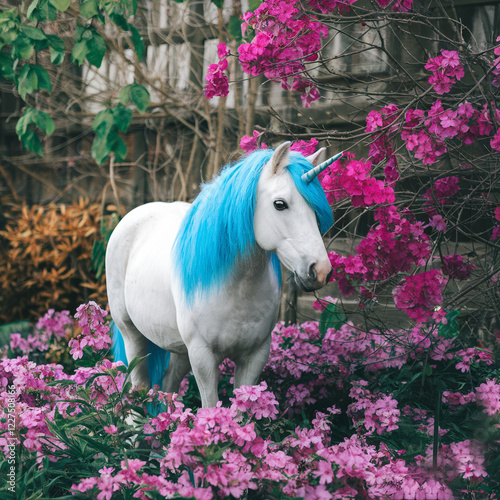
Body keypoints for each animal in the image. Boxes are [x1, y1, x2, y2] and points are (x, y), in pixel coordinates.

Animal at [105, 143, 340, 408]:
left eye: (315, 208)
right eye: (280, 204)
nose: (321, 271)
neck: (236, 287)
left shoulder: (255, 356)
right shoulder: (203, 357)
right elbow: (210, 407)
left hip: (180, 350)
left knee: (168, 385)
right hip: (132, 335)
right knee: (139, 388)